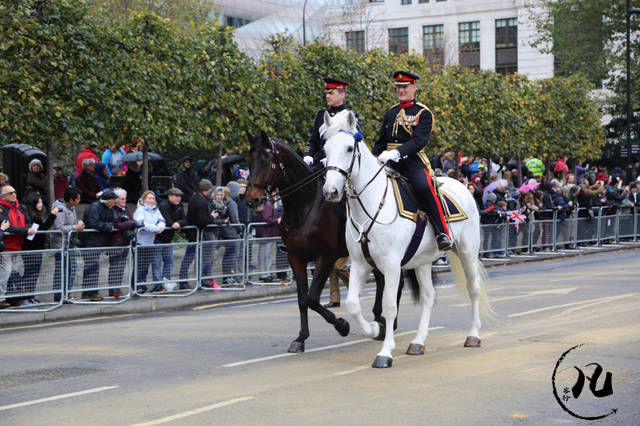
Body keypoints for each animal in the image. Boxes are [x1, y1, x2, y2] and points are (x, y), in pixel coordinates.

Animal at [245, 133, 404, 352]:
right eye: (248, 161)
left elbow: (312, 298)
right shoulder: (296, 258)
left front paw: (342, 325)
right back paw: (380, 319)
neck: (304, 206)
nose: (251, 200)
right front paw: (301, 338)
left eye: (266, 161)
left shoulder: (325, 257)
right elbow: (302, 299)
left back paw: (388, 323)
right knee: (383, 280)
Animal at [322, 111, 492, 368]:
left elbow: (390, 306)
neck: (372, 204)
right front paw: (374, 329)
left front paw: (385, 353)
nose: (330, 191)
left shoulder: (392, 266)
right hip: (422, 261)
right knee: (429, 297)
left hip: (467, 252)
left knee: (473, 288)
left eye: (350, 148)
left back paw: (473, 335)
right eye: (325, 148)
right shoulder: (360, 264)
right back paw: (418, 342)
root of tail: (462, 185)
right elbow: (352, 304)